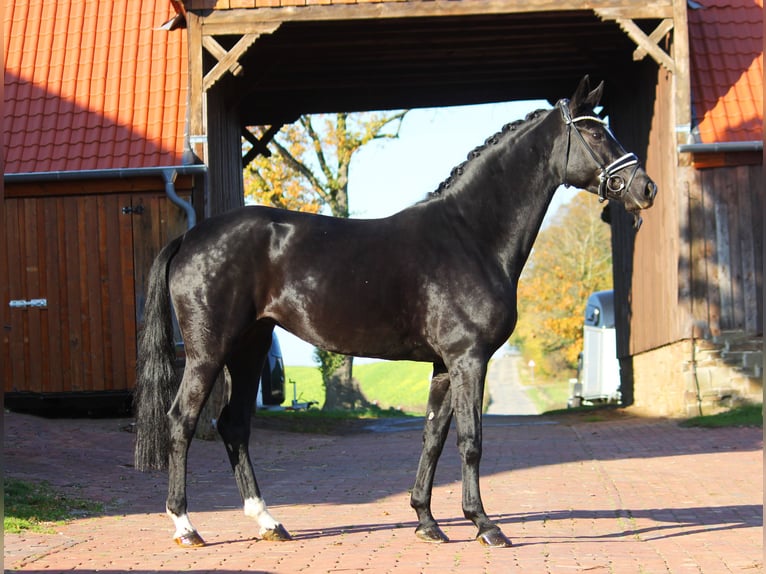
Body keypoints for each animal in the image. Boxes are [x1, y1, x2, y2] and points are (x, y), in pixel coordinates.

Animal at [135, 76, 656, 548]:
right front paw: (485, 526)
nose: (646, 188)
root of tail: (191, 237)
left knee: (234, 425)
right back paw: (186, 527)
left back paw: (269, 522)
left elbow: (433, 437)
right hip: (209, 353)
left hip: (250, 349)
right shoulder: (469, 360)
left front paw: (427, 522)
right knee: (181, 421)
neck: (471, 236)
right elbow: (471, 440)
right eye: (594, 134)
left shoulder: (444, 365)